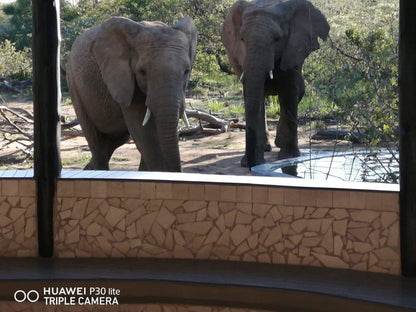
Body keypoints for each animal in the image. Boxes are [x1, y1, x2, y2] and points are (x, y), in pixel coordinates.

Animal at [67, 15, 197, 172]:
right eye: (142, 72)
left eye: (186, 71)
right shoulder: (124, 79)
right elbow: (144, 132)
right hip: (74, 84)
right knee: (95, 141)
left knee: (115, 139)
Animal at [221, 0, 328, 169]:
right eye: (242, 39)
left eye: (277, 39)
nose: (249, 166)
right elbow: (254, 96)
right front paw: (252, 162)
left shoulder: (292, 49)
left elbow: (289, 94)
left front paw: (289, 157)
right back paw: (267, 148)